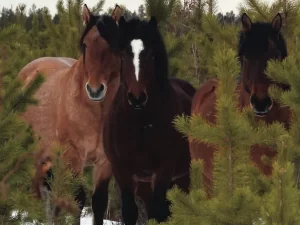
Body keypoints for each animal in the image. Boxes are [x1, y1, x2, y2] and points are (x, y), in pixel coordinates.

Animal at [17, 5, 122, 225]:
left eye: (113, 45)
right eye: (85, 45)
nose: (95, 89)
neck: (96, 113)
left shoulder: (104, 161)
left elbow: (99, 203)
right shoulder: (73, 155)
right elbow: (77, 200)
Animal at [103, 16, 196, 225]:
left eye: (151, 54)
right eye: (123, 54)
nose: (137, 98)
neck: (140, 126)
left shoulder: (163, 171)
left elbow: (157, 213)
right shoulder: (122, 171)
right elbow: (130, 211)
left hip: (182, 177)